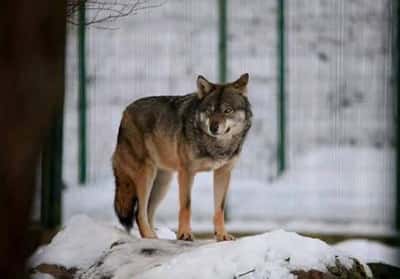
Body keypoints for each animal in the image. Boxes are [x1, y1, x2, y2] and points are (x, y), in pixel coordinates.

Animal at [111, 73, 252, 242]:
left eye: (227, 110)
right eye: (210, 110)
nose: (213, 128)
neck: (217, 145)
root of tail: (125, 112)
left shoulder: (223, 173)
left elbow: (220, 208)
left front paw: (222, 235)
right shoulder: (186, 172)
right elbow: (186, 206)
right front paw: (184, 234)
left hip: (163, 183)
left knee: (148, 212)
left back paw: (156, 238)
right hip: (146, 175)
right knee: (139, 213)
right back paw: (150, 237)